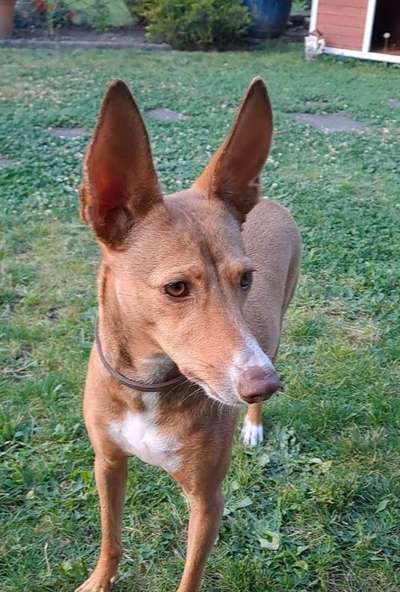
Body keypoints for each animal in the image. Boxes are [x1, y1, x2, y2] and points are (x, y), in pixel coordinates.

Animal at [76, 78, 300, 592]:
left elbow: (190, 577)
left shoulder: (208, 500)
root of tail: (265, 200)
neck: (148, 388)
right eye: (176, 288)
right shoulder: (107, 464)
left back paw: (253, 425)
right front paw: (98, 581)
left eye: (246, 279)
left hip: (276, 331)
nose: (264, 384)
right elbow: (110, 539)